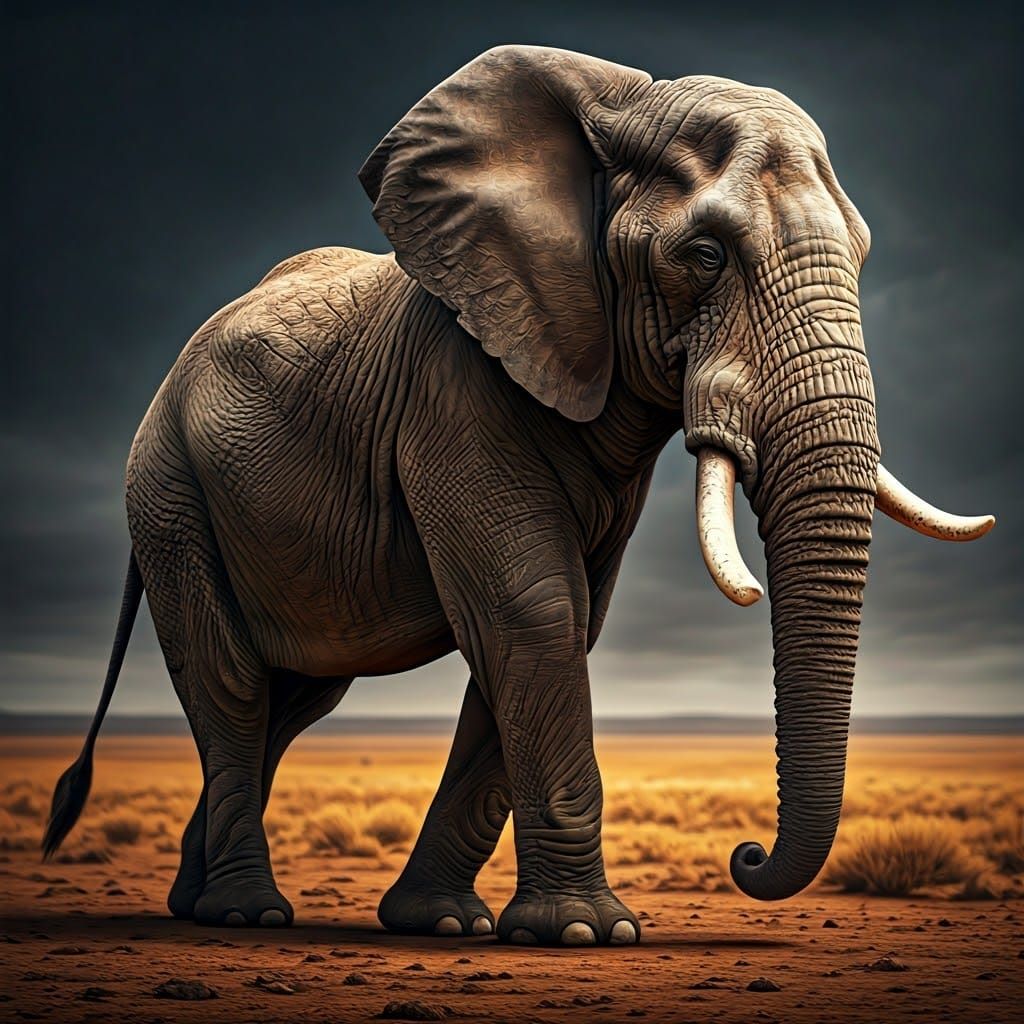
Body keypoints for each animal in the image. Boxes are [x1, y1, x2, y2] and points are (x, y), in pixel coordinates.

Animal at [43, 45, 994, 946]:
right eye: (706, 256)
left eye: (864, 257)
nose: (747, 855)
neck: (618, 111)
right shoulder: (455, 385)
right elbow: (530, 611)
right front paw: (586, 932)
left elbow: (564, 626)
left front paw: (443, 923)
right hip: (167, 488)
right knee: (232, 680)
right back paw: (245, 913)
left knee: (297, 698)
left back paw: (195, 903)